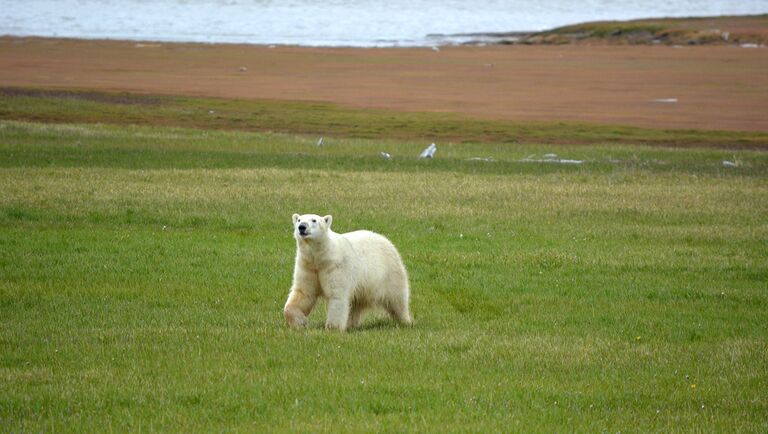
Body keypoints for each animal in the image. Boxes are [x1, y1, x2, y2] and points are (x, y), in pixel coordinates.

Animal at [284, 214, 414, 332]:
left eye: (314, 220)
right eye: (299, 219)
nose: (302, 227)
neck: (321, 257)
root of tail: (386, 240)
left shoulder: (336, 266)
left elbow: (337, 295)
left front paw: (332, 329)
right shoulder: (308, 266)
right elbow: (303, 293)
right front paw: (300, 322)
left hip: (389, 272)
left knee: (397, 299)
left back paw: (406, 321)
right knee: (355, 304)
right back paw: (351, 324)